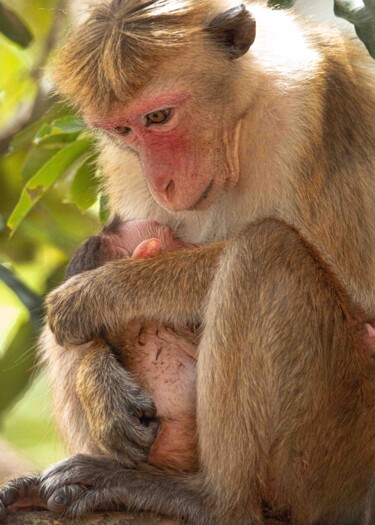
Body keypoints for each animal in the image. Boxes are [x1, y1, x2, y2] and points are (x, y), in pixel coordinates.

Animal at [0, 0, 375, 520]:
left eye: (159, 117)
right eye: (123, 129)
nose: (162, 184)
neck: (243, 117)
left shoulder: (321, 107)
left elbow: (362, 298)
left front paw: (104, 293)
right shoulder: (123, 161)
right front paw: (99, 381)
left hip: (337, 452)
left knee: (264, 251)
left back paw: (212, 501)